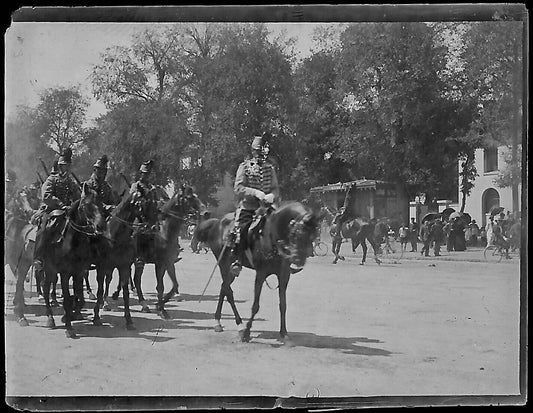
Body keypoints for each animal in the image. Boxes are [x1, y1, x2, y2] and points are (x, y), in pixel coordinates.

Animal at [41, 183, 105, 338]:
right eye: (86, 205)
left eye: (101, 204)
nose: (100, 226)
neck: (73, 241)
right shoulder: (64, 274)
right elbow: (67, 300)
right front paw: (69, 328)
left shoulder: (79, 272)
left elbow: (78, 296)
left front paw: (70, 316)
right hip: (49, 269)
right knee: (45, 289)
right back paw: (50, 318)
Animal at [196, 202, 318, 342]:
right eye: (296, 233)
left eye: (313, 234)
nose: (299, 260)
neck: (272, 236)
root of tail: (217, 223)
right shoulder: (260, 274)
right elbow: (255, 306)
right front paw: (247, 333)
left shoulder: (284, 276)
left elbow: (283, 305)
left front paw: (284, 333)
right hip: (225, 266)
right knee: (228, 291)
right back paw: (239, 326)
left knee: (224, 289)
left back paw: (218, 322)